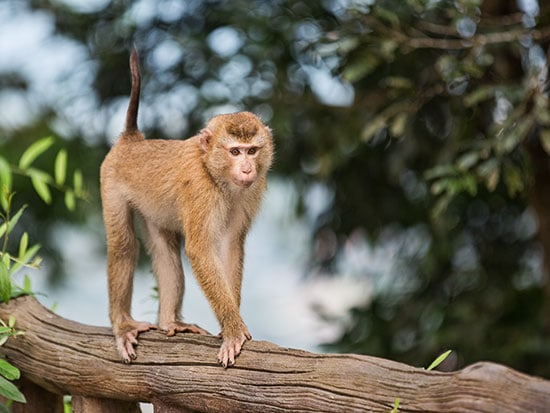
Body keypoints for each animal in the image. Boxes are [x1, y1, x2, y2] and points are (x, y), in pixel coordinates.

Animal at [100, 45, 274, 366]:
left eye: (253, 151)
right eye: (235, 152)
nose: (247, 169)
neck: (214, 172)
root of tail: (133, 140)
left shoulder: (251, 192)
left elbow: (229, 246)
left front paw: (230, 324)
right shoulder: (200, 190)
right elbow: (200, 249)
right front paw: (233, 328)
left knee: (164, 250)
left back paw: (170, 322)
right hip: (111, 181)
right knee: (123, 245)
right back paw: (123, 324)